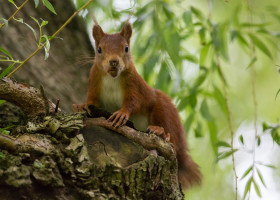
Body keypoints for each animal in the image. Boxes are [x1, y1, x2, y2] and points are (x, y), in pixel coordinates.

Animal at [72, 20, 201, 189]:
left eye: (126, 48)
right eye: (99, 49)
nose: (114, 62)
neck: (112, 78)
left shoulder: (135, 86)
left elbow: (134, 103)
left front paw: (122, 114)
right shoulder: (94, 82)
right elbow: (92, 101)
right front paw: (81, 106)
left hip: (164, 109)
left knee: (171, 138)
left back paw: (160, 132)